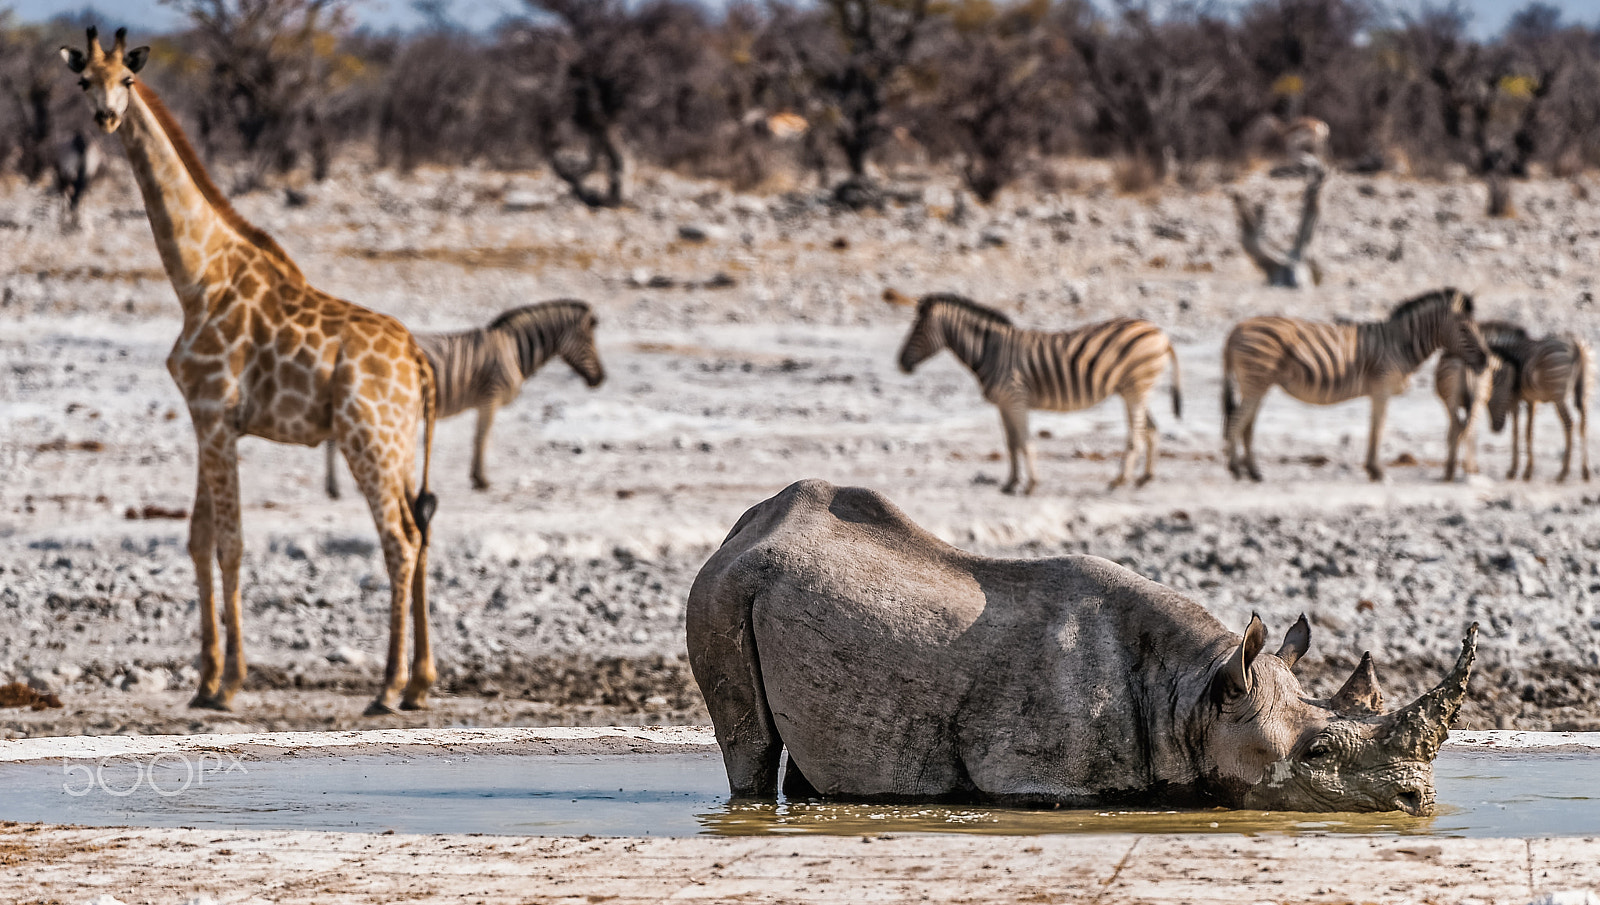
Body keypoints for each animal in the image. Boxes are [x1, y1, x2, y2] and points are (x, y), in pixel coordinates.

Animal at [687, 479, 1477, 814]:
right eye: (1316, 754)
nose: (1419, 799)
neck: (1195, 689)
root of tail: (744, 524)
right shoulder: (1030, 772)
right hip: (722, 587)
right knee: (748, 741)